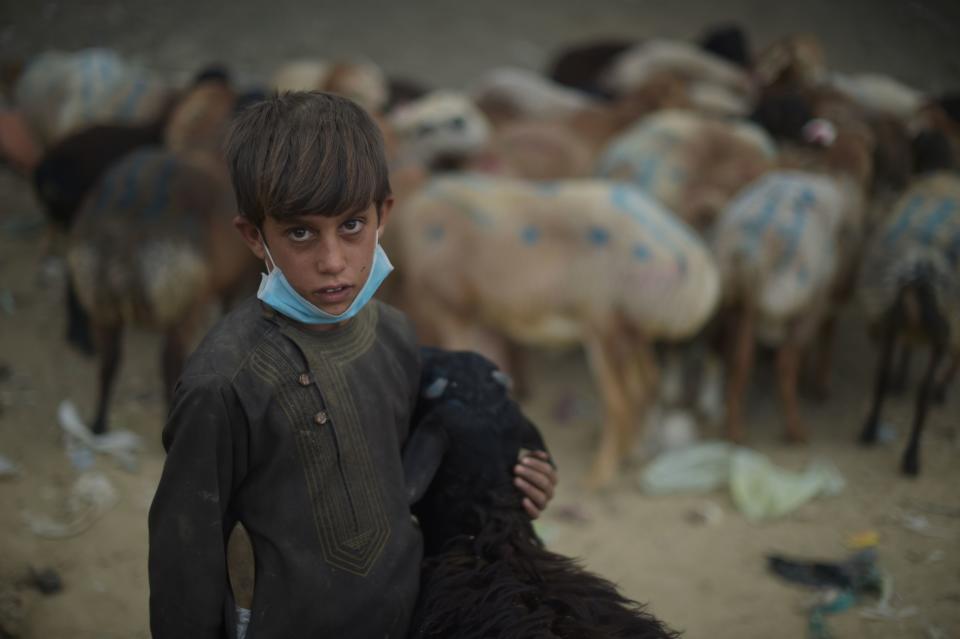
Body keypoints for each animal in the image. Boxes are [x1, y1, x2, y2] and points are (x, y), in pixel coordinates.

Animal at [64, 148, 255, 432]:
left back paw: (98, 423)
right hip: (183, 305)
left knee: (109, 360)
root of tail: (124, 236)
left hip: (101, 306)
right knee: (170, 363)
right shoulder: (234, 282)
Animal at [394, 175, 716, 484]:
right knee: (646, 384)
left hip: (604, 325)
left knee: (620, 401)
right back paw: (635, 455)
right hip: (631, 333)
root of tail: (694, 263)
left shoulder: (452, 312)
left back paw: (598, 477)